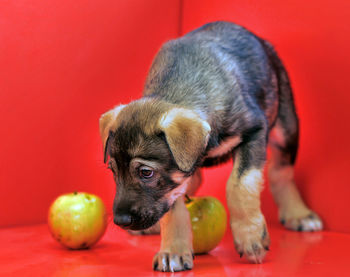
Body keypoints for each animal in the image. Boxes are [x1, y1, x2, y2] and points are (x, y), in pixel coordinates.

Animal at [98, 22, 322, 272]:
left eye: (146, 172)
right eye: (113, 171)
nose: (120, 221)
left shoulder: (254, 131)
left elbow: (239, 185)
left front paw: (250, 237)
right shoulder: (174, 182)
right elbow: (173, 207)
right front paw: (173, 250)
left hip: (286, 127)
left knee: (280, 171)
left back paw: (298, 214)